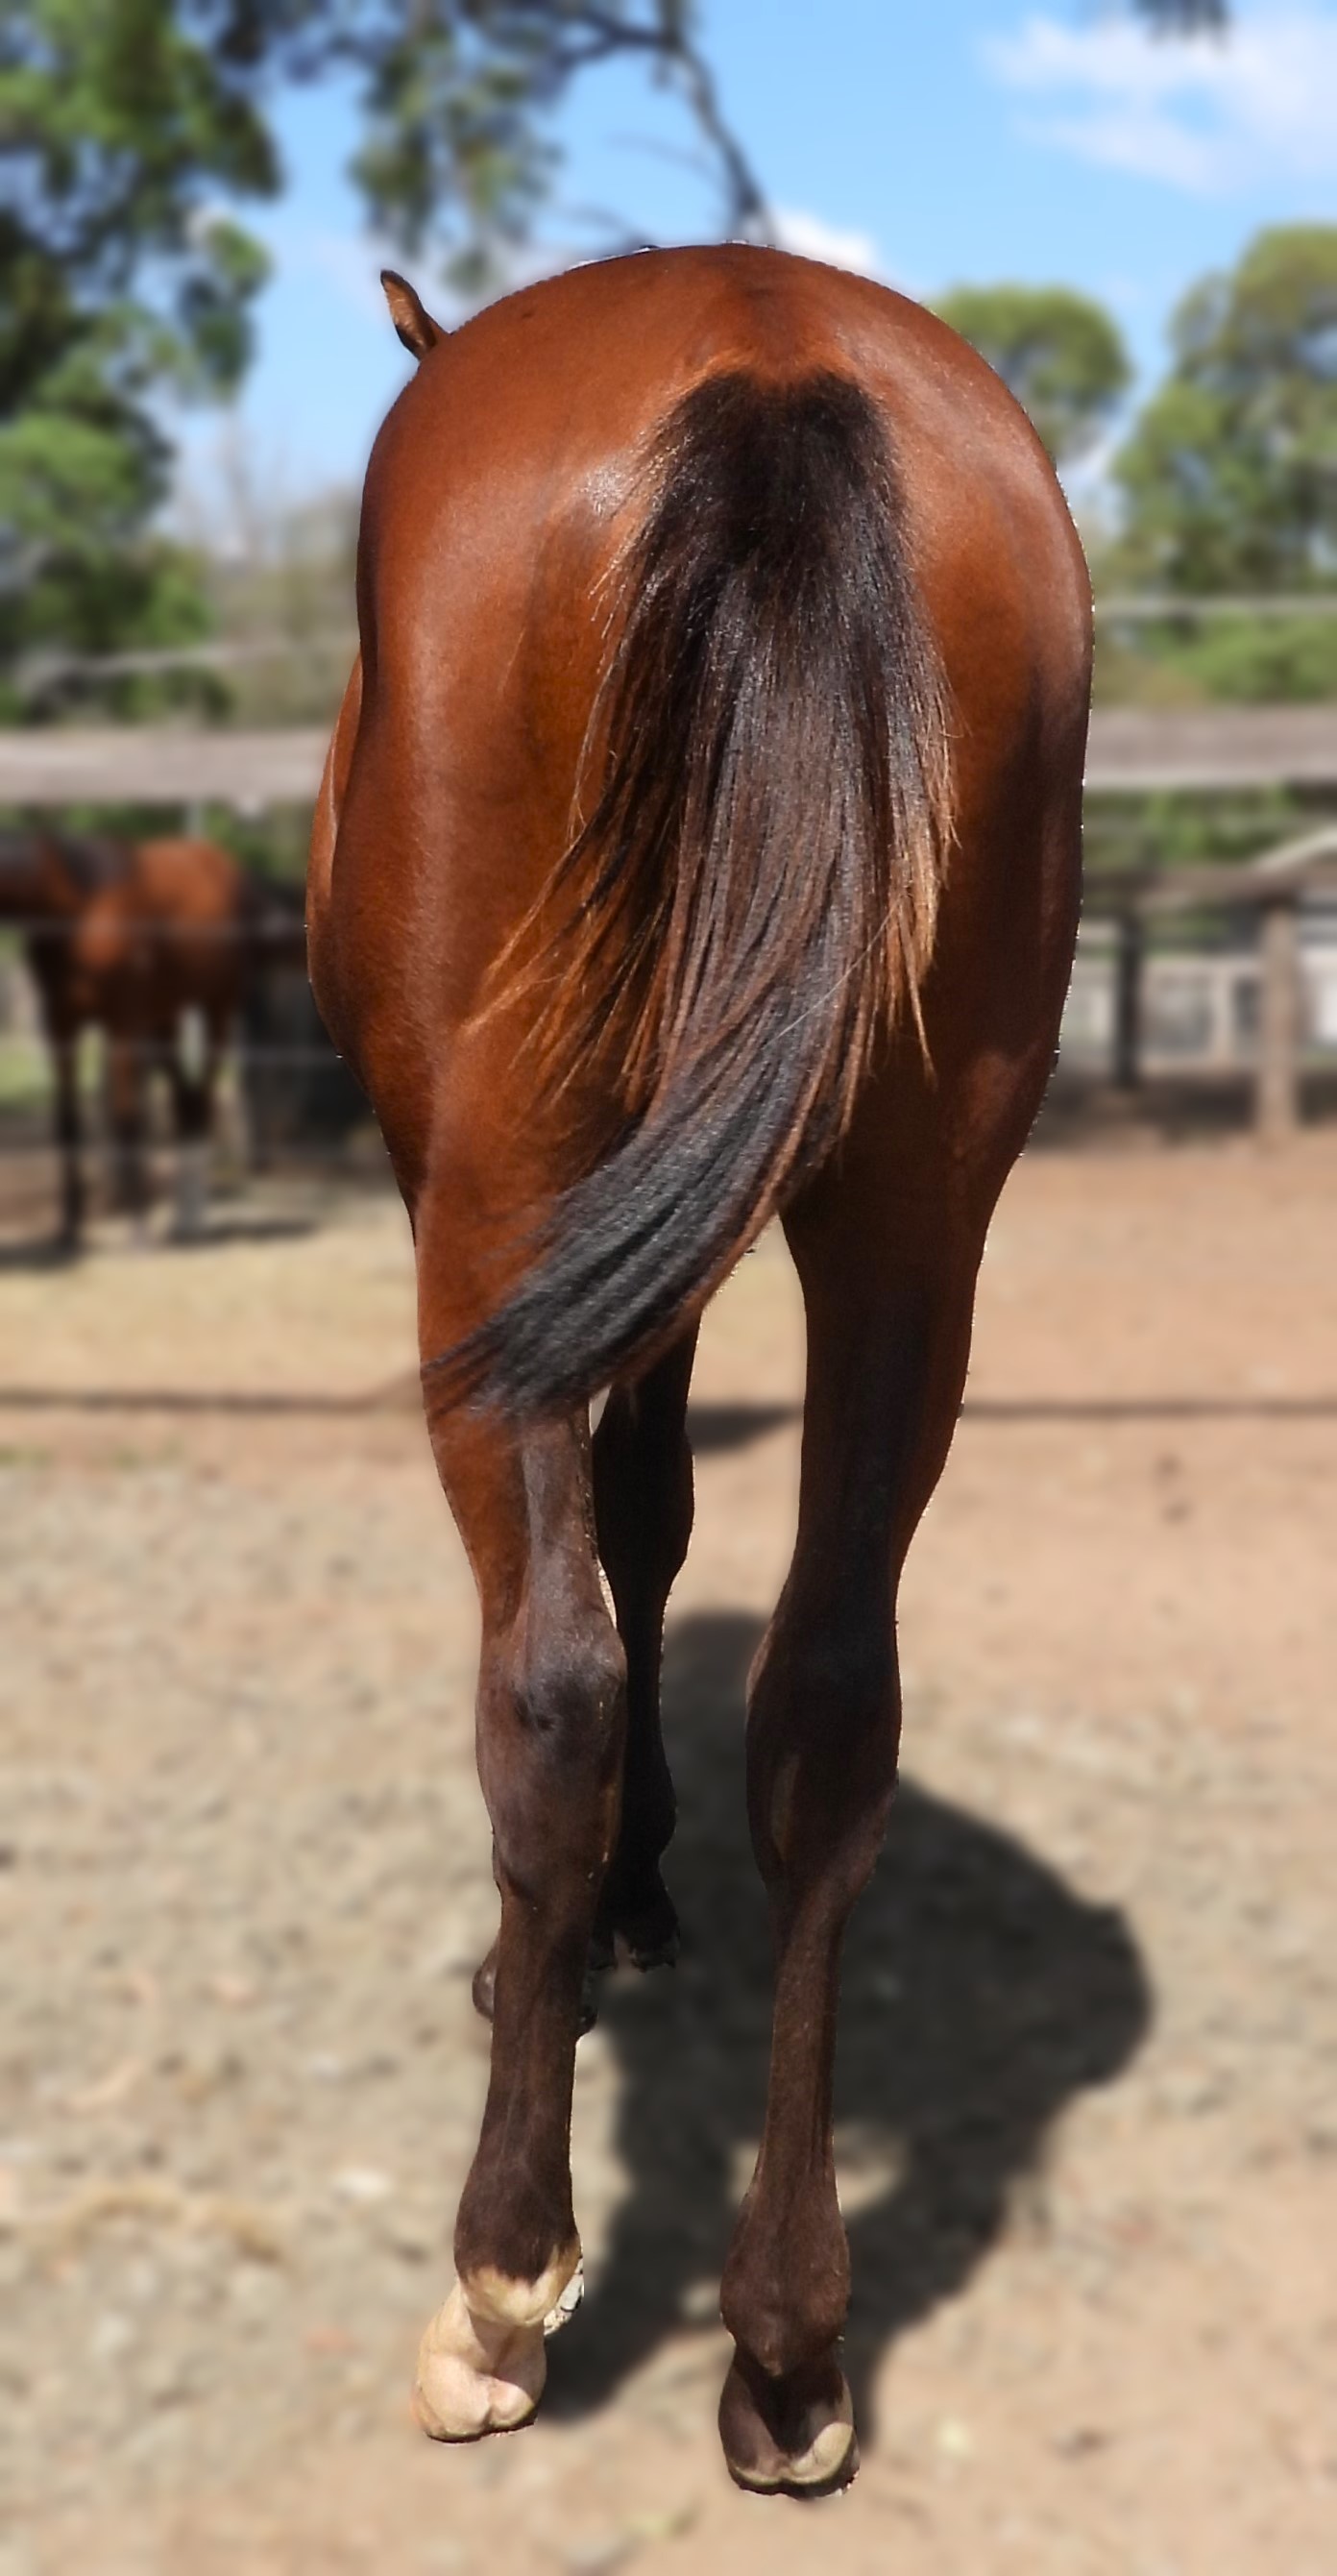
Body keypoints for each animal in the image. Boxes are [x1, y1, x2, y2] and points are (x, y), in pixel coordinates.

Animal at [0, 827, 253, 1244]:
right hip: (163, 1021)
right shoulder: (60, 1026)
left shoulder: (121, 1026)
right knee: (185, 1102)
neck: (79, 906)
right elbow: (67, 1123)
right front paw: (69, 1227)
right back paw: (182, 1218)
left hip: (217, 1009)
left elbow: (126, 1119)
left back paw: (194, 1219)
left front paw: (138, 1225)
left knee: (200, 1100)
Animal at [308, 243, 1090, 2496]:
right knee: (831, 1705)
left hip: (496, 1194)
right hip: (917, 1207)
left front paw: (572, 1945)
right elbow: (665, 1525)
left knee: (549, 1678)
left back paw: (504, 2281)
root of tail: (764, 350)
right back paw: (788, 2346)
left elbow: (606, 1574)